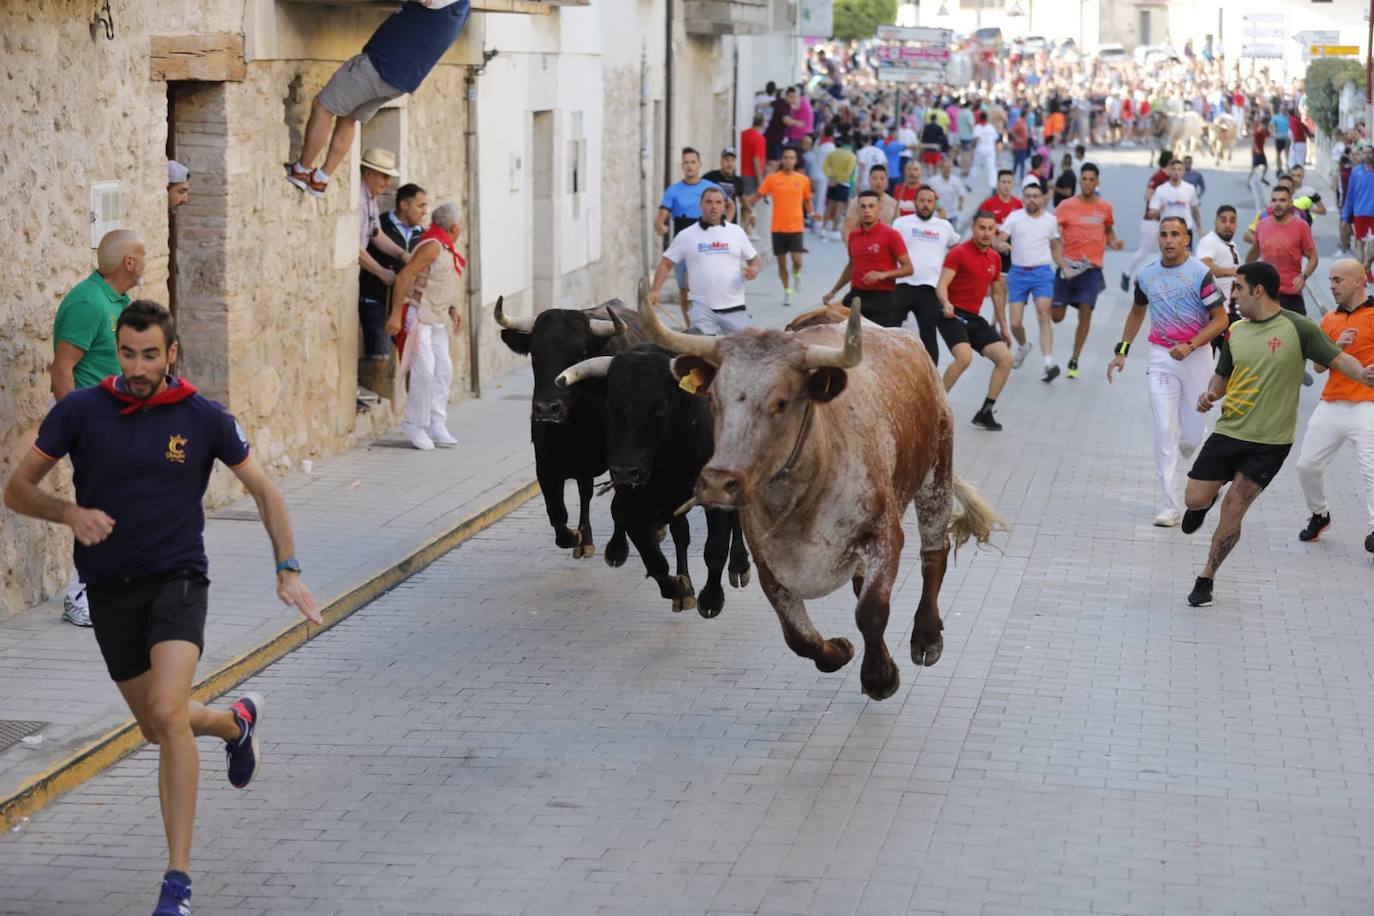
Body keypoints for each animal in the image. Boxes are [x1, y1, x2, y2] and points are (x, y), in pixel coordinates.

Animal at [637, 287, 1005, 703]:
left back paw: (926, 636)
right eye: (714, 400)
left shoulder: (884, 535)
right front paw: (840, 651)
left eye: (781, 402)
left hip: (936, 471)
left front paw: (880, 678)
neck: (801, 498)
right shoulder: (768, 562)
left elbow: (872, 611)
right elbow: (799, 636)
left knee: (934, 553)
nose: (718, 481)